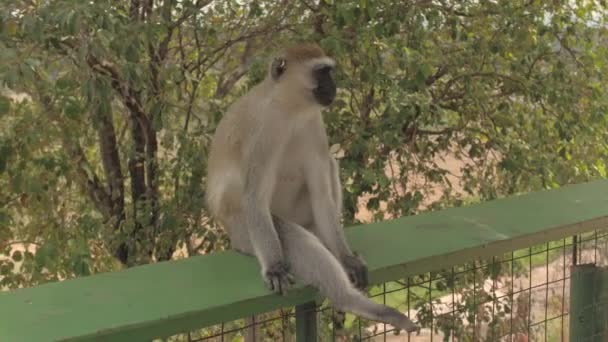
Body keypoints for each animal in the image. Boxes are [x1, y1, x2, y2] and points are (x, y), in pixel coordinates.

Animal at [204, 43, 418, 334]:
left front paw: (346, 257)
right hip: (242, 231)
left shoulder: (314, 122)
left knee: (329, 165)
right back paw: (354, 301)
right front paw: (275, 268)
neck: (291, 109)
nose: (334, 86)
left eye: (329, 72)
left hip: (303, 216)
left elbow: (320, 192)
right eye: (321, 72)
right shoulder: (263, 133)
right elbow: (254, 198)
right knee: (288, 233)